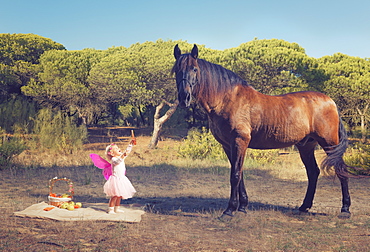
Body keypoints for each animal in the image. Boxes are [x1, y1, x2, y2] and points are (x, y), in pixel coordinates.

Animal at [172, 44, 354, 218]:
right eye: (176, 70)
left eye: (194, 69)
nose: (184, 98)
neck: (228, 99)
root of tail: (330, 101)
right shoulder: (228, 145)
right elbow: (239, 173)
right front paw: (242, 207)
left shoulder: (240, 141)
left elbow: (235, 175)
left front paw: (229, 211)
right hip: (306, 146)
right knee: (313, 172)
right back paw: (303, 207)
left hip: (329, 143)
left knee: (340, 170)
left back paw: (345, 210)